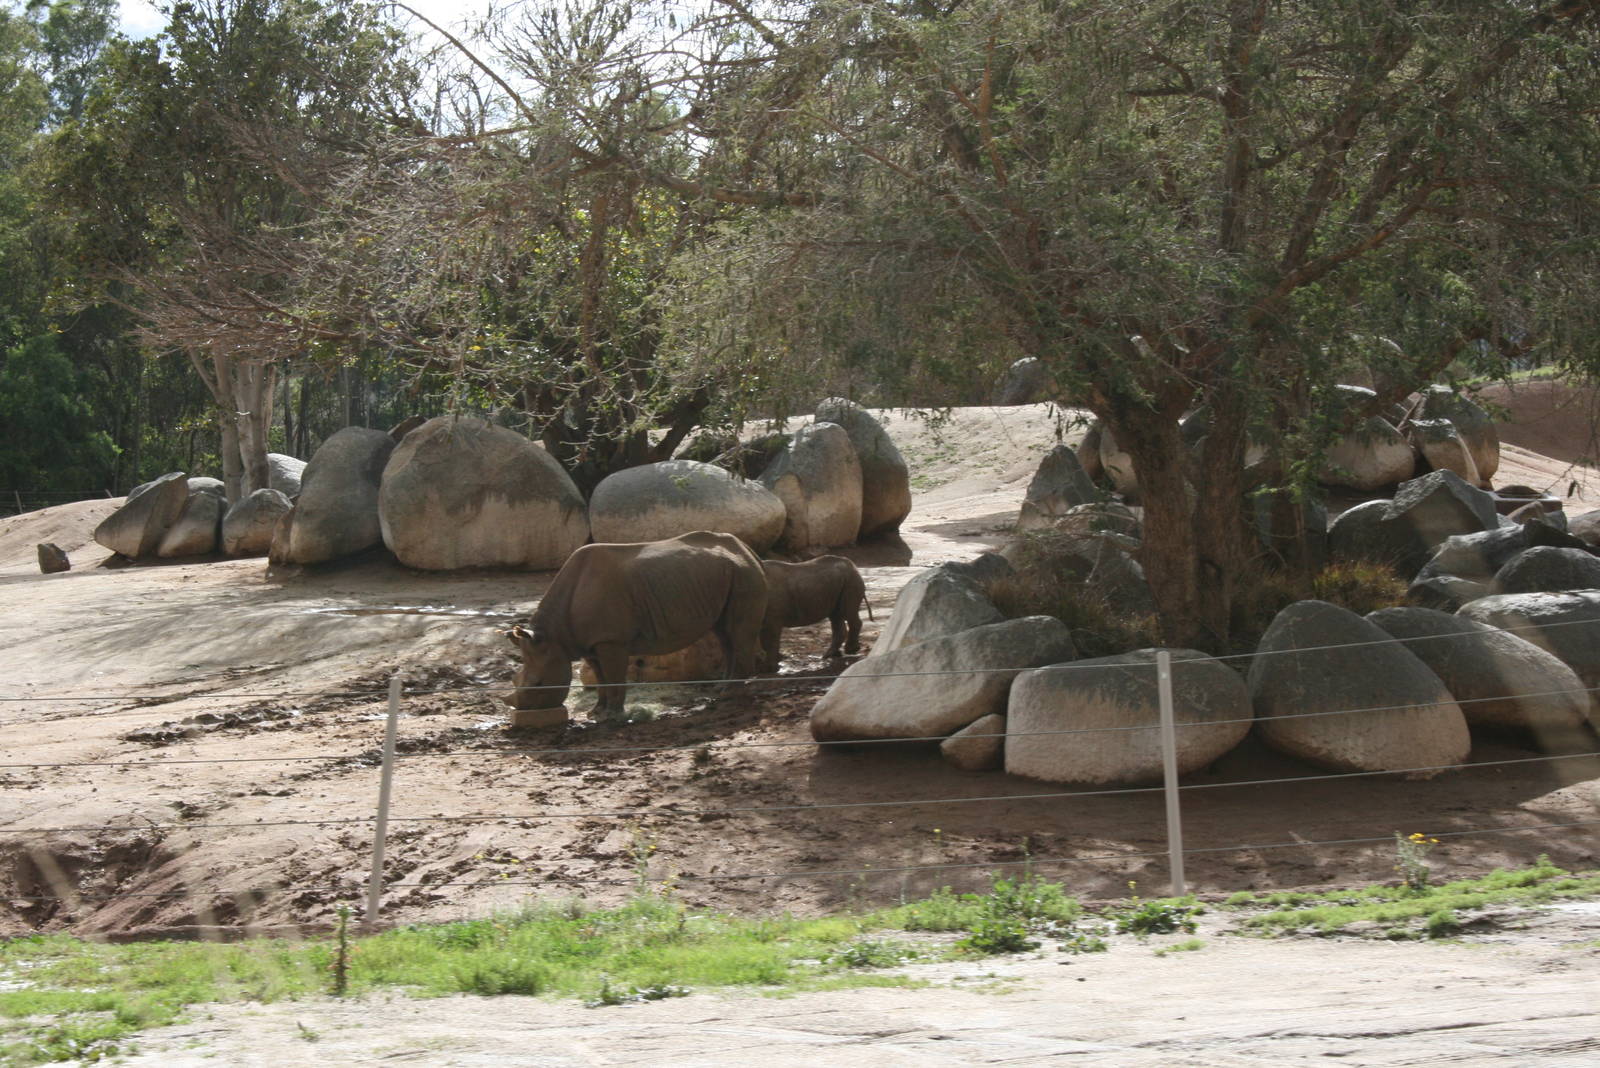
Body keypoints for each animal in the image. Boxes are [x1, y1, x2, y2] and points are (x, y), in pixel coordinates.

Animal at [505, 530, 768, 724]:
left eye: (538, 684)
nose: (523, 710)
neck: (554, 636)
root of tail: (748, 550)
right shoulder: (590, 643)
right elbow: (601, 679)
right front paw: (596, 713)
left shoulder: (611, 640)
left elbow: (613, 676)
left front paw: (613, 717)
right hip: (725, 575)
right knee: (724, 634)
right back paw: (720, 689)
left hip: (743, 573)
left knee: (738, 633)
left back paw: (731, 695)